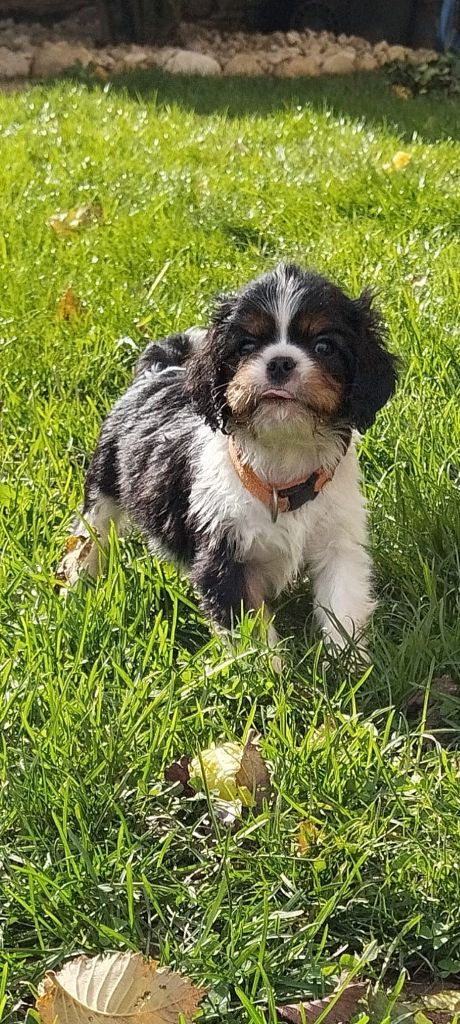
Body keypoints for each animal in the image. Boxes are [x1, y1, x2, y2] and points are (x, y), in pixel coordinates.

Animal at [60, 264, 395, 655]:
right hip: (104, 480)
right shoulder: (222, 556)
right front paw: (267, 669)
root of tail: (158, 370)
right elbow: (248, 629)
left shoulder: (339, 542)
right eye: (246, 346)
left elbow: (343, 608)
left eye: (324, 346)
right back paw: (76, 583)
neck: (280, 464)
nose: (280, 361)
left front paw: (347, 662)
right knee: (90, 531)